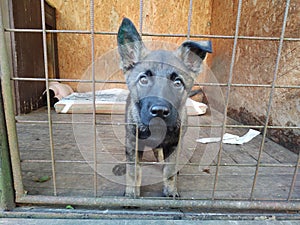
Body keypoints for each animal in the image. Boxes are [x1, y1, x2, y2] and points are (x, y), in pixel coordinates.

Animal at [116, 17, 212, 197]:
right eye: (143, 79)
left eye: (177, 83)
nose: (160, 111)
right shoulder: (133, 142)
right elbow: (133, 171)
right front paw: (132, 194)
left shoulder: (174, 144)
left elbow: (170, 170)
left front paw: (170, 190)